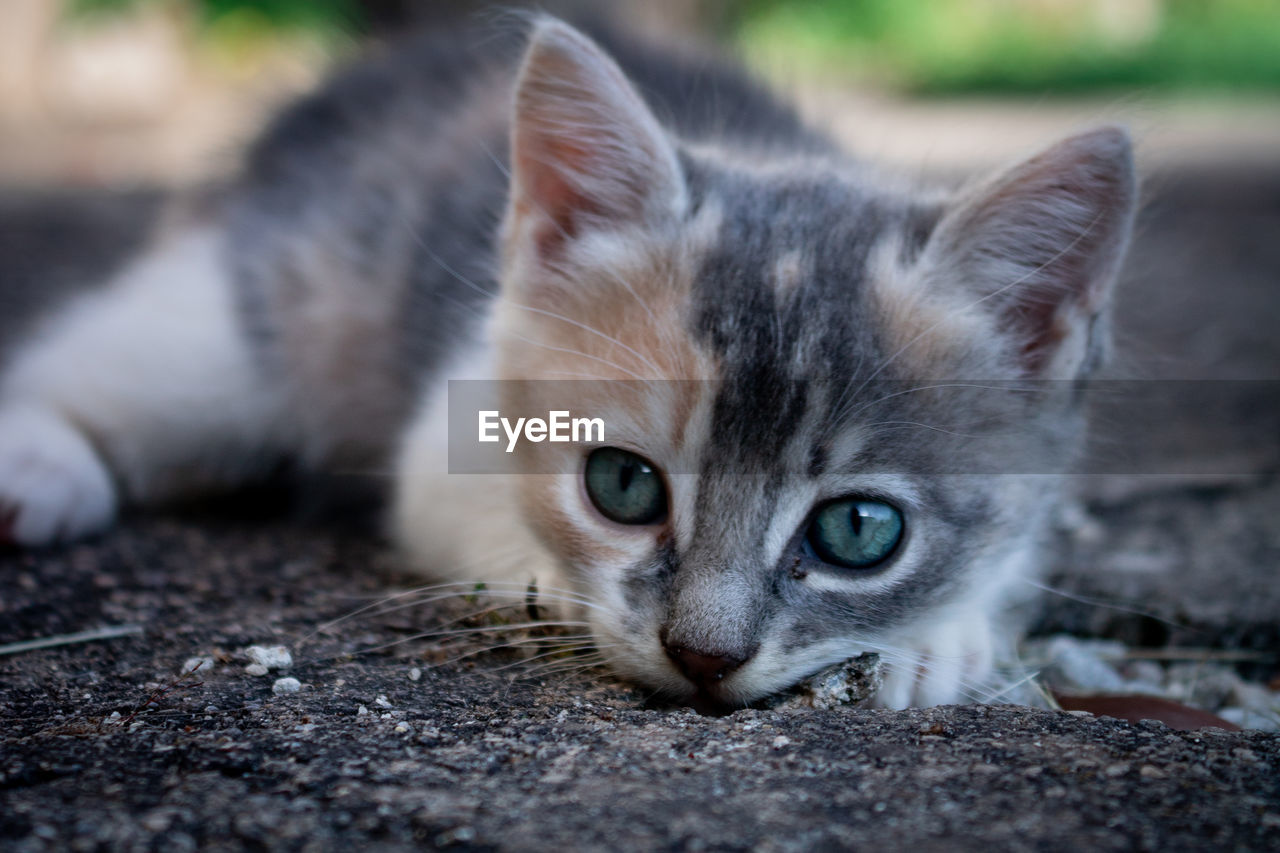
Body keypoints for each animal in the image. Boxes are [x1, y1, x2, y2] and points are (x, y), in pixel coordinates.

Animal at [2, 16, 1141, 706]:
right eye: (621, 485)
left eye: (859, 530)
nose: (703, 655)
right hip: (254, 315)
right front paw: (544, 579)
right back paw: (37, 472)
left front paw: (939, 638)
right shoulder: (442, 426)